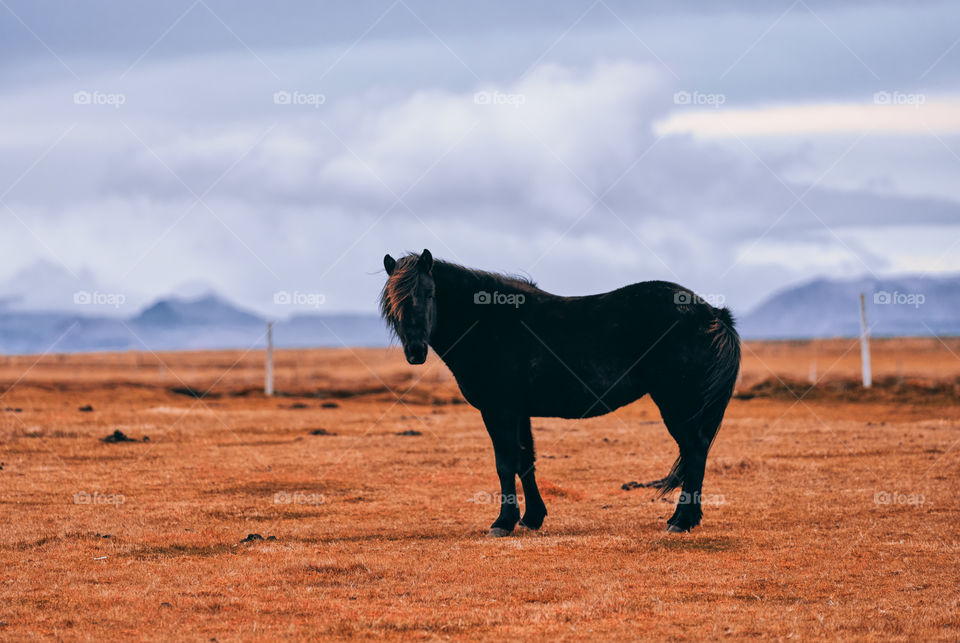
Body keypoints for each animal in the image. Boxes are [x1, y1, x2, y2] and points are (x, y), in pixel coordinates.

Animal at [379, 249, 741, 536]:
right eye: (393, 303)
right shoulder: (518, 411)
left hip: (678, 405)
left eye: (429, 293)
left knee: (695, 451)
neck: (489, 322)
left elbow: (505, 462)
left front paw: (503, 522)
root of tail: (713, 314)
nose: (415, 351)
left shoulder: (499, 410)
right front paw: (531, 518)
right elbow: (525, 460)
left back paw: (681, 520)